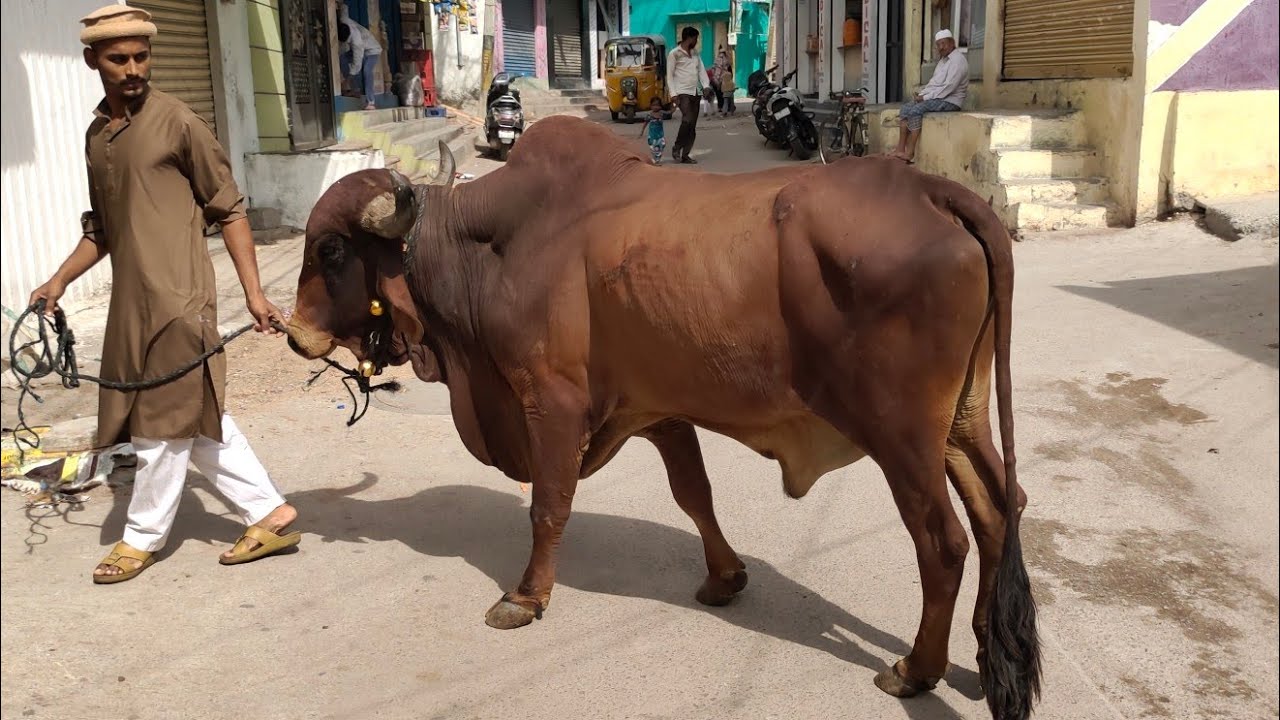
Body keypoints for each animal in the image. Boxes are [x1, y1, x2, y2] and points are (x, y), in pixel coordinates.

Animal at [286, 116, 1040, 719]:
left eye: (330, 250)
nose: (293, 334)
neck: (488, 247)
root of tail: (935, 191)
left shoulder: (551, 402)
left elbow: (548, 506)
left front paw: (526, 596)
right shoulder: (656, 409)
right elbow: (693, 495)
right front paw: (725, 577)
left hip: (900, 435)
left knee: (944, 542)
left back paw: (917, 669)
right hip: (961, 422)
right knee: (1001, 510)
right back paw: (987, 651)